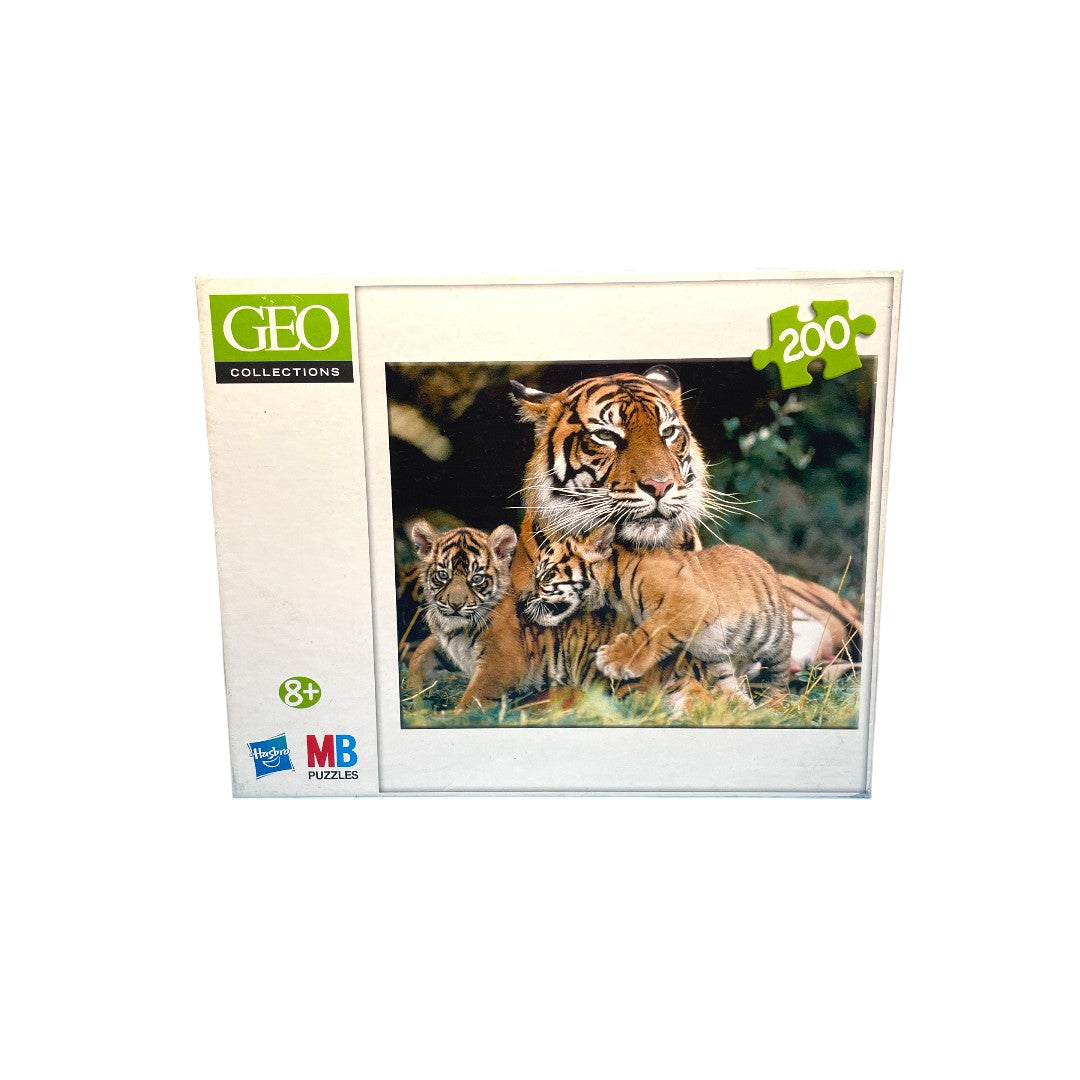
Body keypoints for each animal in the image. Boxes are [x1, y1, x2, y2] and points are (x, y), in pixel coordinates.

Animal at [524, 525, 793, 706]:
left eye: (545, 576)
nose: (524, 602)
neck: (613, 588)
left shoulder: (690, 601)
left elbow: (651, 632)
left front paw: (614, 660)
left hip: (775, 646)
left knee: (779, 682)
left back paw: (772, 708)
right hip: (719, 662)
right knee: (732, 691)